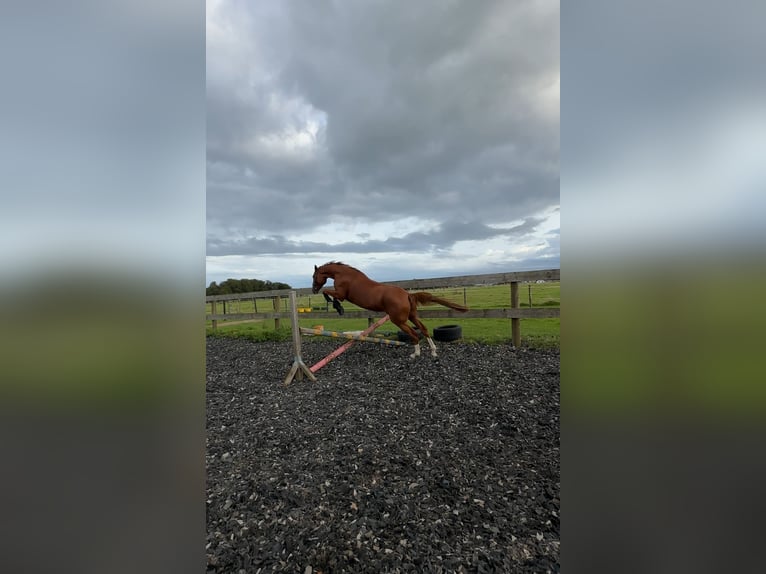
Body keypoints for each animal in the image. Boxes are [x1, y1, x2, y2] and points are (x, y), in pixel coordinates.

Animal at [312, 264, 468, 358]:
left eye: (314, 276)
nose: (313, 290)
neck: (343, 275)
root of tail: (407, 294)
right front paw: (338, 307)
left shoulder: (341, 294)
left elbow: (327, 293)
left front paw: (338, 308)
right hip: (412, 317)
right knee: (423, 329)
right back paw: (433, 351)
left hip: (398, 320)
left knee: (413, 334)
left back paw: (415, 354)